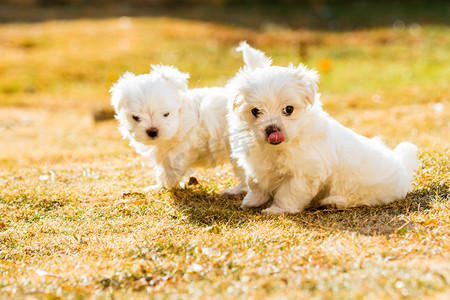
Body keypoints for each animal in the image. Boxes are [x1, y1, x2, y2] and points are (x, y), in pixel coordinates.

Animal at [111, 64, 246, 193]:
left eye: (166, 114)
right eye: (135, 117)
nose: (152, 131)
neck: (180, 118)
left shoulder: (187, 141)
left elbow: (170, 163)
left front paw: (168, 184)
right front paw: (159, 186)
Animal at [227, 43, 420, 214]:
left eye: (288, 110)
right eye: (255, 111)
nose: (272, 129)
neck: (278, 149)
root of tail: (402, 167)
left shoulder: (305, 172)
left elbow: (289, 192)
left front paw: (278, 209)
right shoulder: (257, 165)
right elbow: (255, 183)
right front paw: (252, 201)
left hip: (366, 187)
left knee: (360, 198)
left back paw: (334, 201)